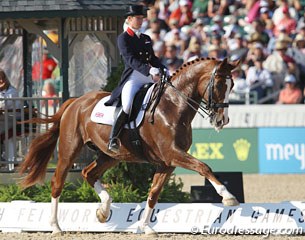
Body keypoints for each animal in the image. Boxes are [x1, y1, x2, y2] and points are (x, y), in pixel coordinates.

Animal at [19, 57, 239, 234]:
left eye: (232, 85)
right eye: (219, 85)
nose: (222, 121)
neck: (173, 105)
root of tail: (75, 102)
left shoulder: (167, 163)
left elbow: (153, 194)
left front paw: (146, 227)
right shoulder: (172, 154)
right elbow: (204, 167)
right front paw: (228, 197)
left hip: (110, 156)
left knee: (89, 173)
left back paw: (103, 211)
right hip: (69, 150)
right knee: (57, 183)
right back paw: (56, 227)